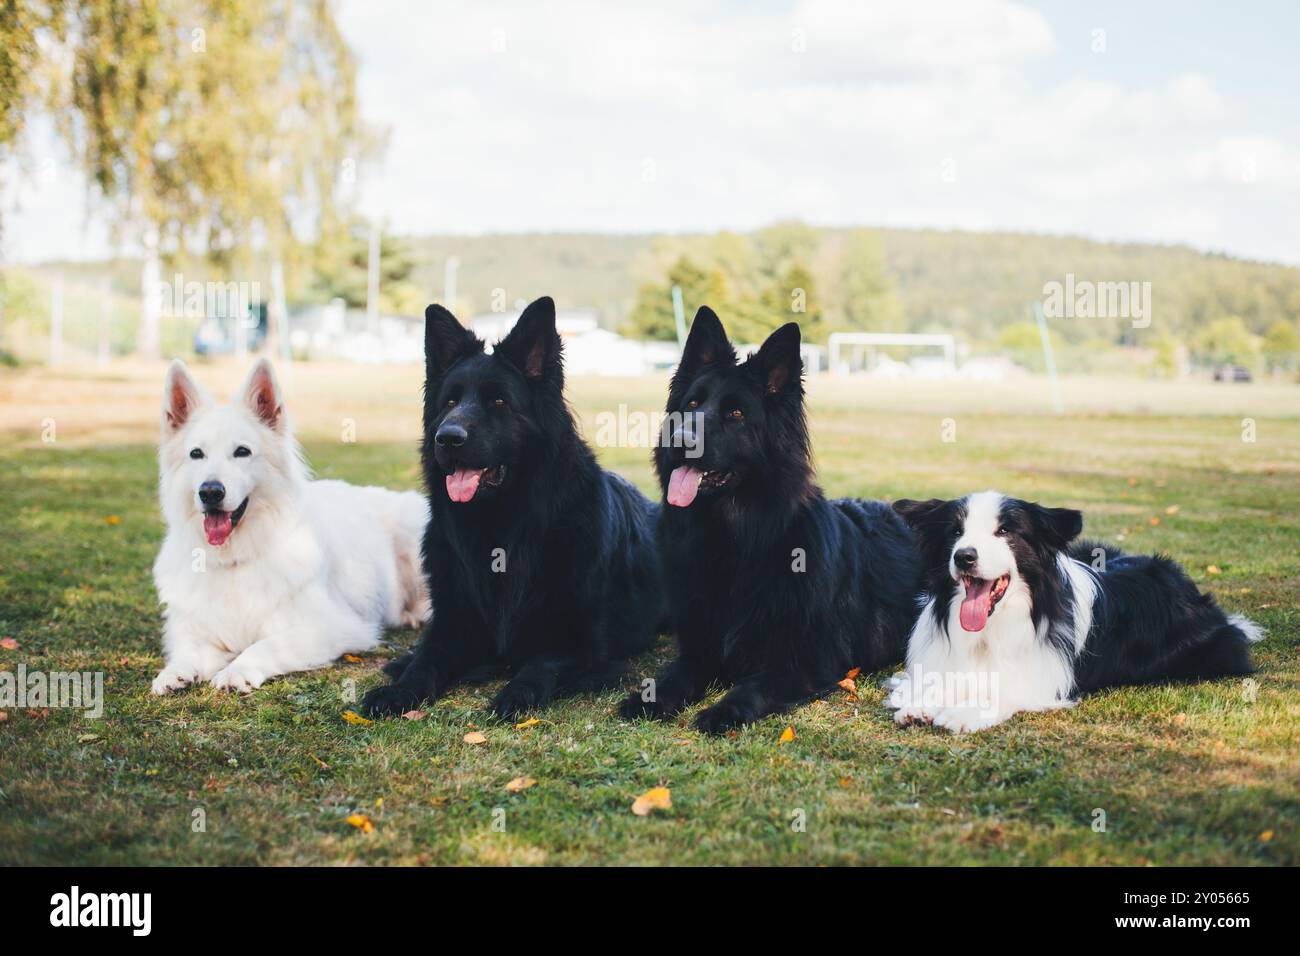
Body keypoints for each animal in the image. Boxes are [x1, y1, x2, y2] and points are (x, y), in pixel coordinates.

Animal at [151, 358, 426, 697]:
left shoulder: (335, 627)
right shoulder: (196, 630)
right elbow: (188, 650)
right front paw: (175, 671)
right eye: (196, 454)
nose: (210, 492)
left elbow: (265, 645)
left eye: (242, 451)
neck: (235, 560)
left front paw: (238, 670)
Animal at [366, 297, 670, 717]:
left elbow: (541, 663)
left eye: (498, 401)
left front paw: (517, 692)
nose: (447, 438)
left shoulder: (581, 641)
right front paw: (400, 687)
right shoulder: (452, 621)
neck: (504, 523)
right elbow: (426, 659)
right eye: (450, 402)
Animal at [621, 306, 920, 733]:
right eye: (691, 404)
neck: (735, 537)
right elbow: (677, 674)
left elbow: (753, 686)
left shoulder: (806, 663)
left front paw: (723, 710)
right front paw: (652, 697)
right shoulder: (699, 646)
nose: (680, 439)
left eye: (736, 413)